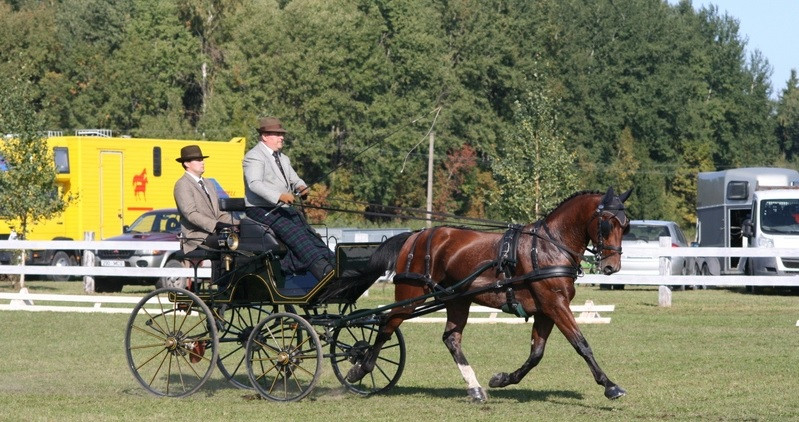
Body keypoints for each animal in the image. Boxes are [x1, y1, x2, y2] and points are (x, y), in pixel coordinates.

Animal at [350, 187, 632, 402]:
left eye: (626, 226)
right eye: (607, 224)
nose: (612, 267)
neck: (548, 247)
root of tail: (415, 235)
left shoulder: (546, 310)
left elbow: (536, 353)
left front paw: (502, 379)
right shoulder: (555, 305)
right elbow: (581, 343)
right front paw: (610, 386)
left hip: (457, 300)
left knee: (451, 339)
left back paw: (475, 389)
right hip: (410, 297)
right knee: (386, 325)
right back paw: (360, 368)